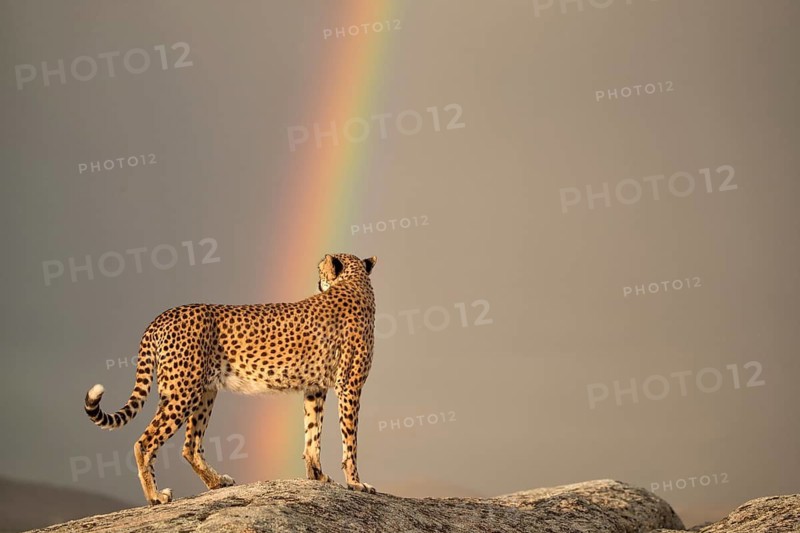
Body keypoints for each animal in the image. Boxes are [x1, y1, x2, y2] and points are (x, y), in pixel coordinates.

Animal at [84, 253, 378, 505]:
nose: (318, 281)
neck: (355, 283)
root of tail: (163, 315)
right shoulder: (349, 386)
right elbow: (350, 440)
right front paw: (356, 483)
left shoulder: (315, 388)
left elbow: (312, 434)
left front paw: (318, 476)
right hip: (183, 393)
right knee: (145, 443)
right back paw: (155, 496)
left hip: (204, 392)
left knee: (190, 446)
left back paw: (216, 482)